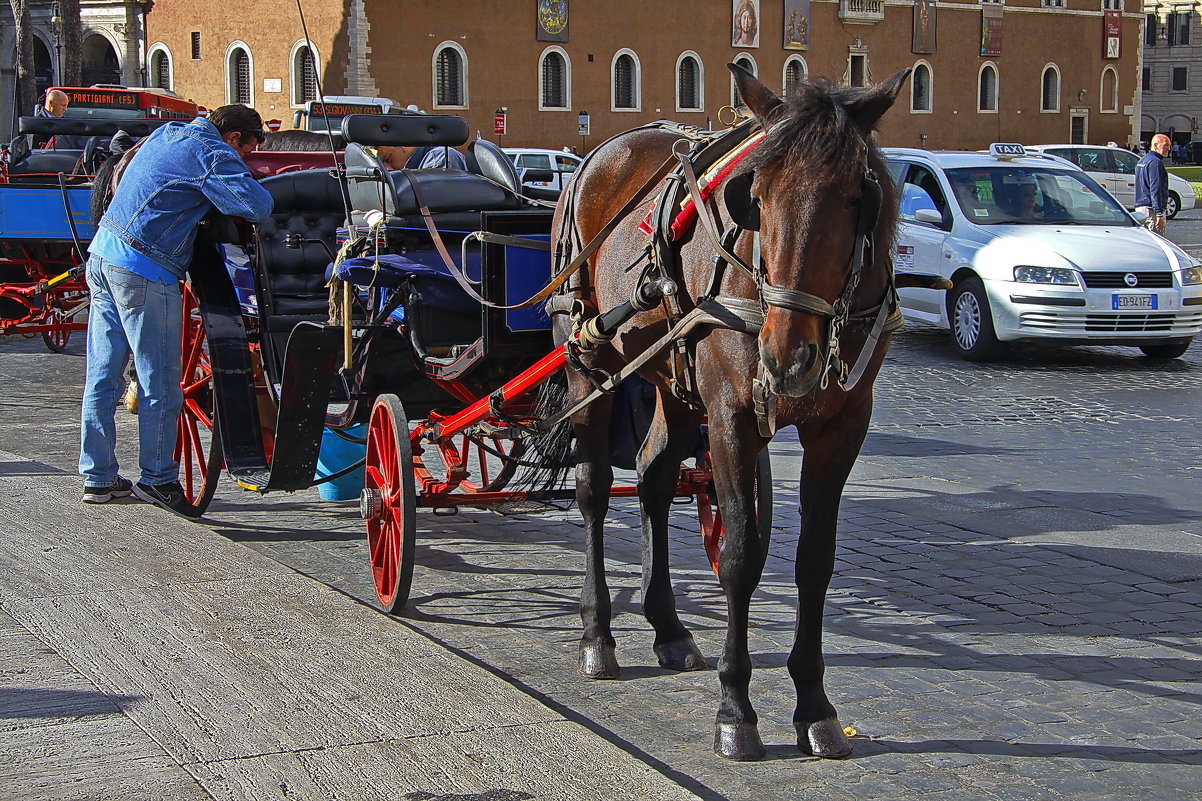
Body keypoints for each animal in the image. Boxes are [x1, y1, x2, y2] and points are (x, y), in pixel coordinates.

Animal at [550, 65, 903, 760]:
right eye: (756, 196)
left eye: (857, 198)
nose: (788, 356)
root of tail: (596, 157)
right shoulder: (733, 416)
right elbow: (741, 555)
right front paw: (736, 708)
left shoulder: (842, 426)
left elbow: (815, 560)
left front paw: (814, 704)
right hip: (589, 360)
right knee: (596, 490)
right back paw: (597, 632)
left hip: (673, 378)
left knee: (655, 478)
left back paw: (667, 625)